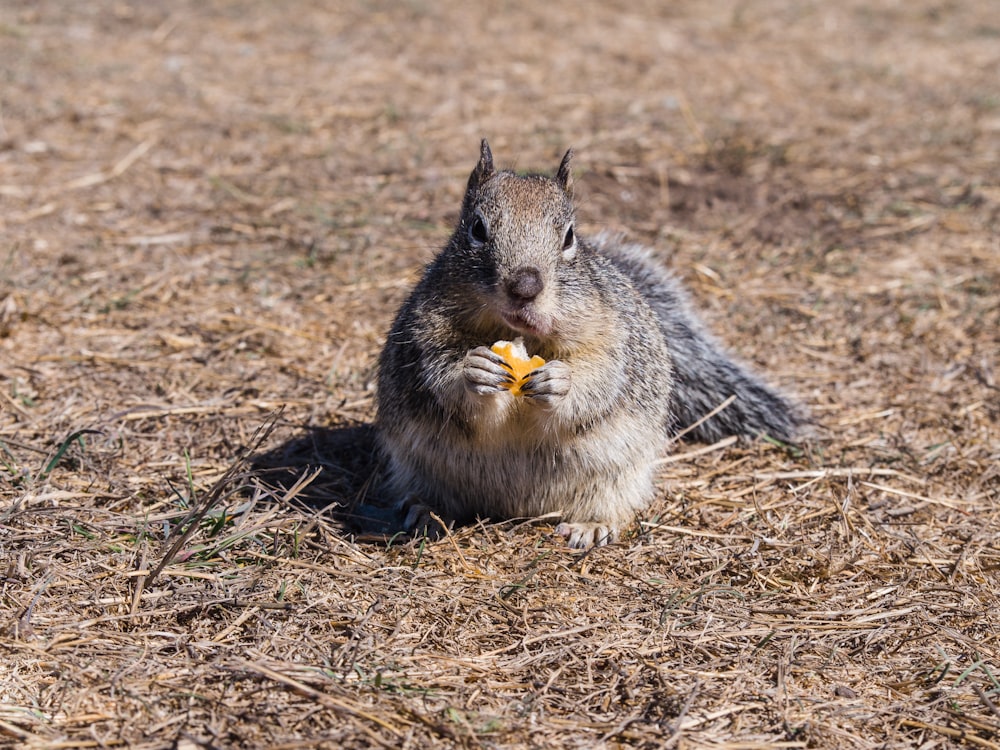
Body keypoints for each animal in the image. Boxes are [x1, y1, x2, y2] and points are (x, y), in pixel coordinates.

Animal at [376, 141, 804, 548]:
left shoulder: (610, 335)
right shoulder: (425, 330)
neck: (523, 336)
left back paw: (592, 525)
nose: (525, 287)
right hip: (417, 465)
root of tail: (514, 508)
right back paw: (427, 510)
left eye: (569, 237)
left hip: (620, 473)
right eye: (477, 229)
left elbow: (599, 379)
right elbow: (440, 375)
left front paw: (560, 384)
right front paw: (474, 371)